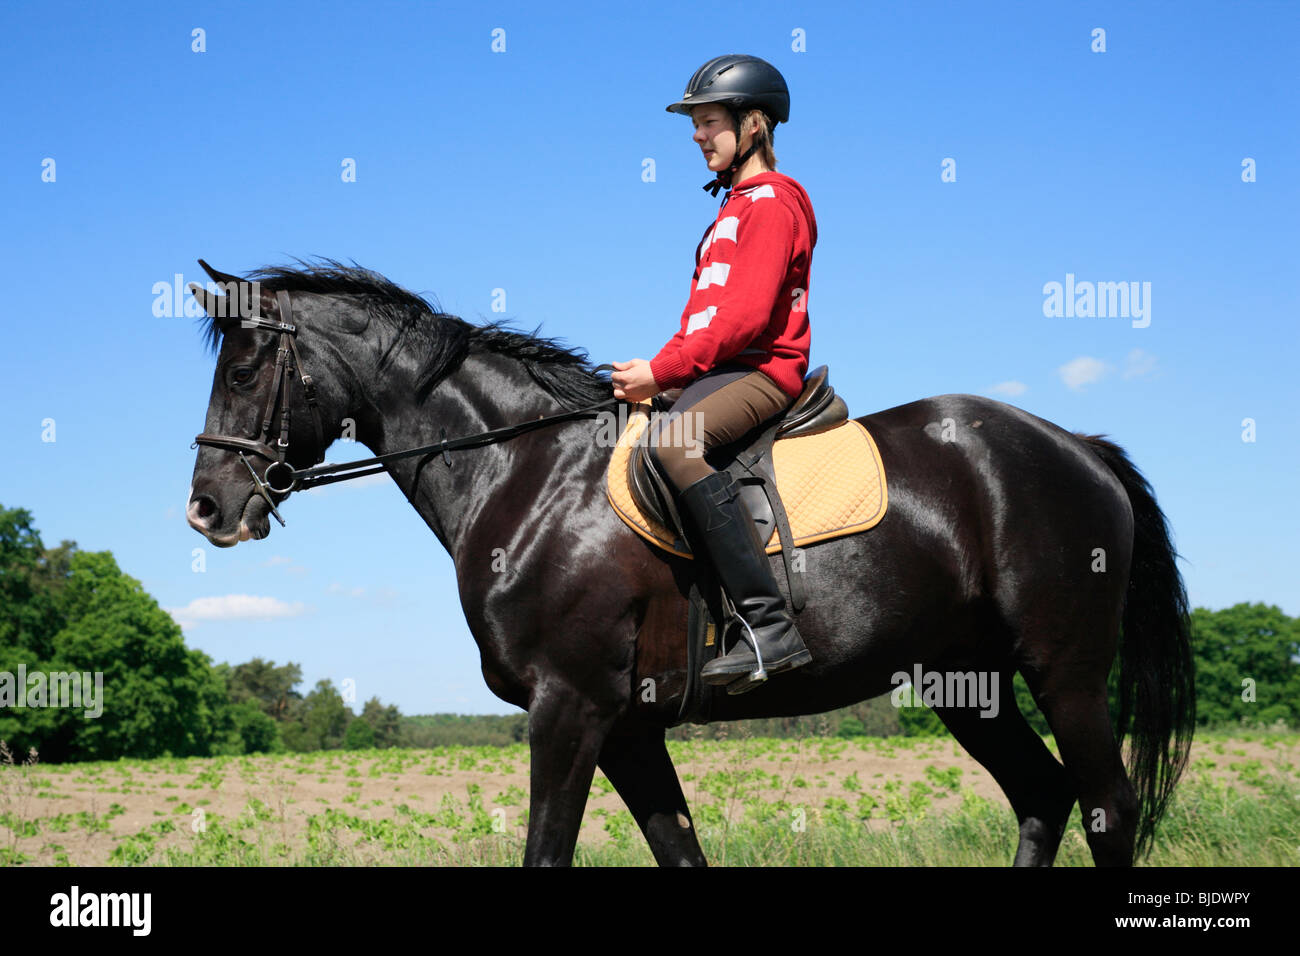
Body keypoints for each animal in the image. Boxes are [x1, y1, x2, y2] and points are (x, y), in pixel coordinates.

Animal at [188, 260, 1190, 868]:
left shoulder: (571, 707)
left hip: (1064, 673)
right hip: (965, 680)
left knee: (1106, 805)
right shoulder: (628, 726)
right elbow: (680, 850)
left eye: (241, 371)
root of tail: (1076, 445)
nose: (208, 510)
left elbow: (547, 851)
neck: (525, 472)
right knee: (1043, 795)